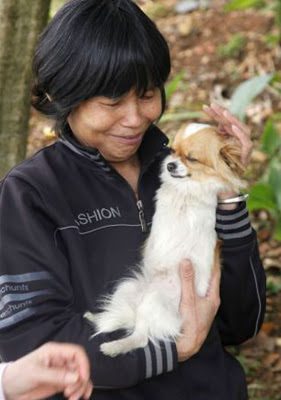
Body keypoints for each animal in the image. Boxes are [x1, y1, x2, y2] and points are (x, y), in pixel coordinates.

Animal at [85, 123, 243, 358]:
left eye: (192, 158)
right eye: (173, 151)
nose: (170, 165)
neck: (184, 190)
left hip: (152, 301)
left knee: (141, 337)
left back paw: (114, 346)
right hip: (127, 289)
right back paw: (95, 318)